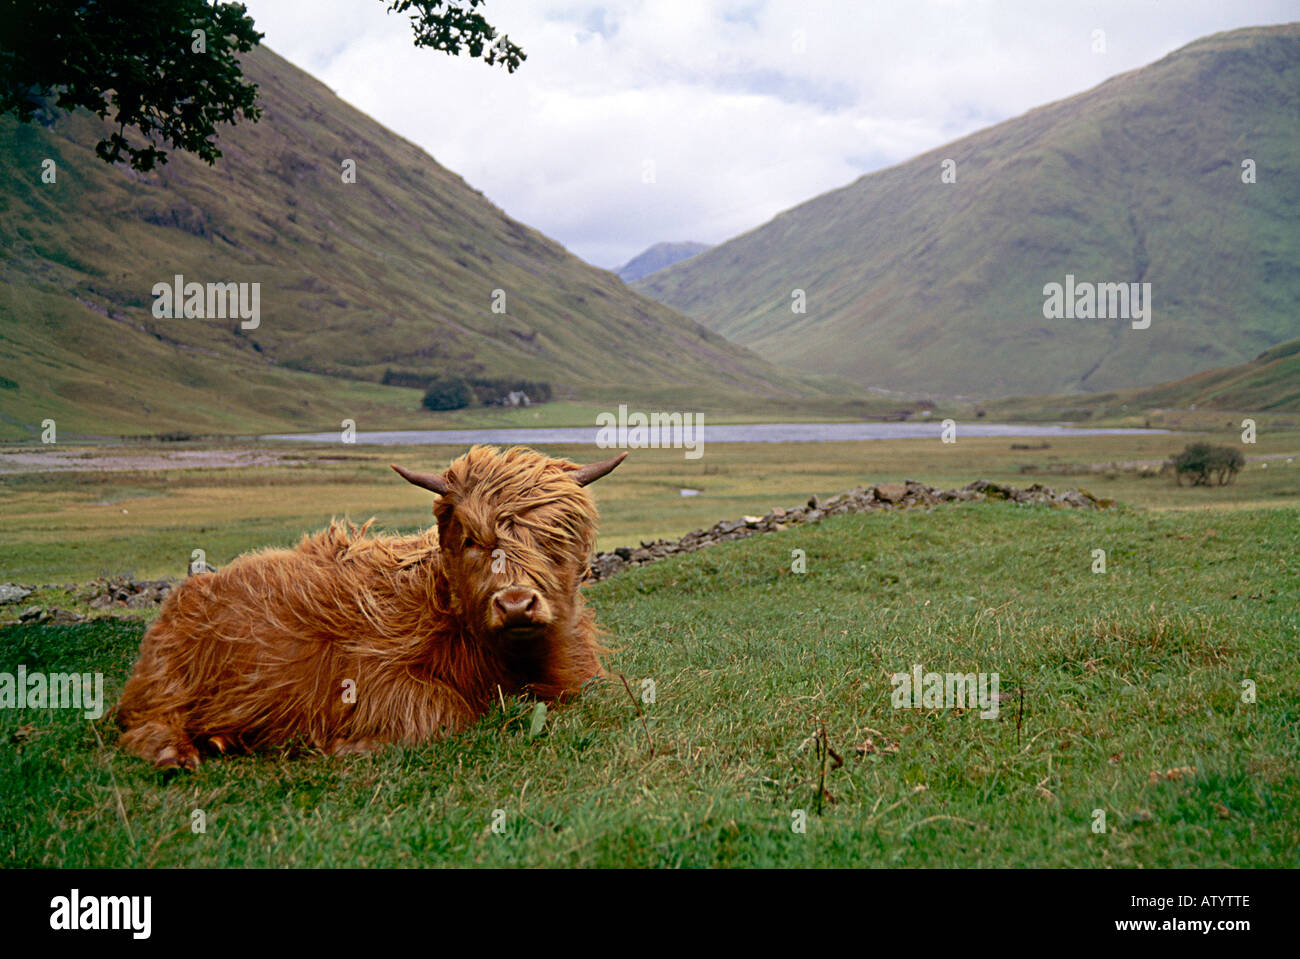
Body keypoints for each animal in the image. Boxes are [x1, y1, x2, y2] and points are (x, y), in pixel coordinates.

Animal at [115, 445, 626, 768]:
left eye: (556, 536)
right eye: (470, 539)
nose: (517, 605)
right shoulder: (365, 673)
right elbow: (444, 709)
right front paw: (349, 747)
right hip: (171, 679)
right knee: (145, 721)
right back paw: (175, 755)